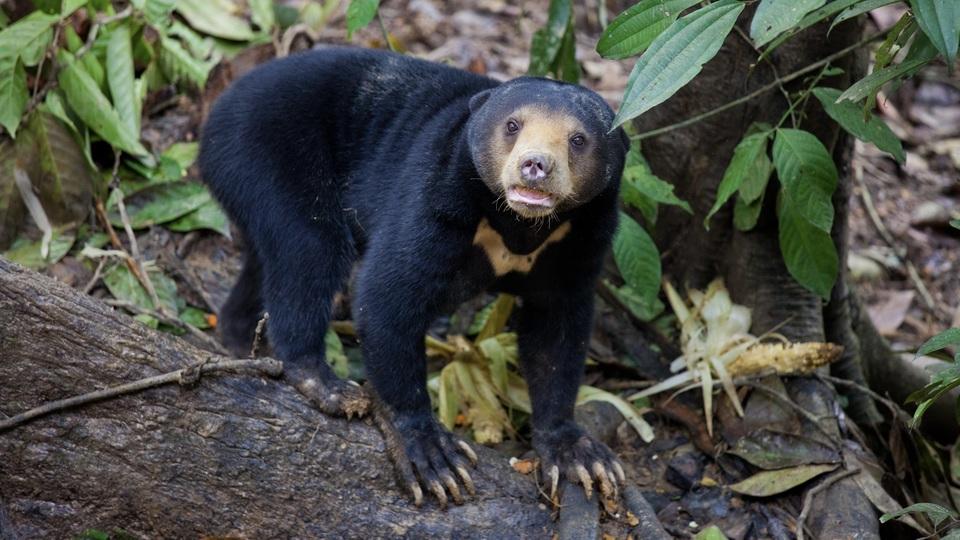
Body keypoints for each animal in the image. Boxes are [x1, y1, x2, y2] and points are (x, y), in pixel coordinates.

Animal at [198, 46, 632, 506]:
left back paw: (240, 336)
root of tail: (220, 106)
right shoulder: (438, 192)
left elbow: (557, 329)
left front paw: (578, 454)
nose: (535, 165)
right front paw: (434, 454)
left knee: (266, 258)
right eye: (512, 126)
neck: (520, 225)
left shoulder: (581, 237)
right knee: (309, 247)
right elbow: (388, 295)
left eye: (578, 140)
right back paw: (324, 382)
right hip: (264, 150)